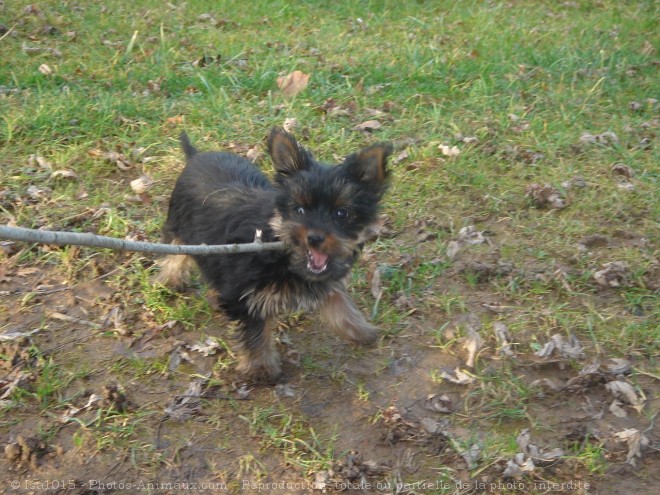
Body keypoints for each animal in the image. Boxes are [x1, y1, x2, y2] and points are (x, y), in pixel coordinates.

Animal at [157, 130, 390, 382]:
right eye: (299, 210)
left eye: (342, 213)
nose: (315, 238)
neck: (281, 248)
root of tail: (195, 156)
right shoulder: (245, 293)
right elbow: (255, 332)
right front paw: (261, 367)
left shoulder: (323, 279)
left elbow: (340, 302)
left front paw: (360, 330)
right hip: (181, 224)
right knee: (177, 250)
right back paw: (170, 280)